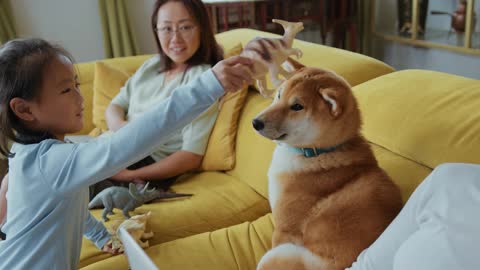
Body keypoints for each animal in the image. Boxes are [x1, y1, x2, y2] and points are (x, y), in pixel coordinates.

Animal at [253, 60, 404, 268]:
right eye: (279, 95)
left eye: (297, 106)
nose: (255, 122)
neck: (318, 152)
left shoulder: (285, 229)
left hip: (278, 255)